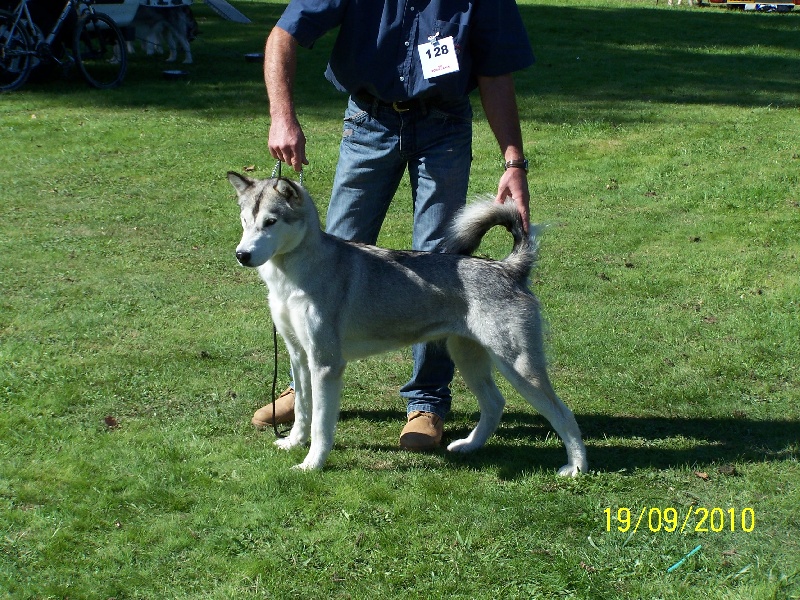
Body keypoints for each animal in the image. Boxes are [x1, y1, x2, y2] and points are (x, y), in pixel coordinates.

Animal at [227, 171, 588, 476]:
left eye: (270, 222)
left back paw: (576, 468)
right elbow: (303, 410)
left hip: (519, 367)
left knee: (564, 414)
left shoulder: (326, 365)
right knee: (495, 404)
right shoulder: (299, 357)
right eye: (245, 222)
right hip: (469, 359)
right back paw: (469, 446)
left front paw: (312, 464)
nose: (242, 255)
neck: (291, 278)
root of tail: (508, 267)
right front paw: (293, 443)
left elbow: (320, 425)